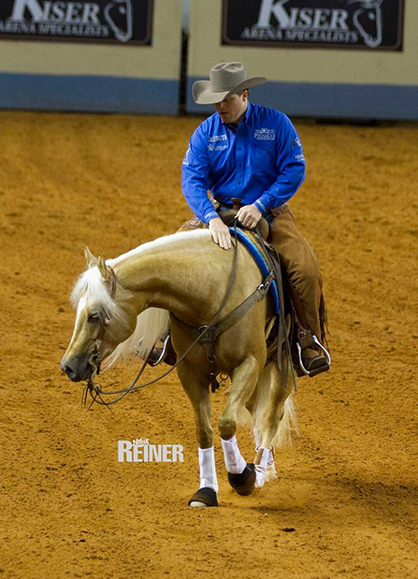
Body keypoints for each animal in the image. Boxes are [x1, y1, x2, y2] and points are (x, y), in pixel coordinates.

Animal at [59, 229, 298, 510]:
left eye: (94, 315)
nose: (68, 366)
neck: (212, 290)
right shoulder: (189, 371)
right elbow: (204, 431)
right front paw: (206, 491)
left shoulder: (249, 363)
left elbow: (226, 423)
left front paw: (243, 477)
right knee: (257, 411)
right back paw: (266, 467)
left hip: (281, 363)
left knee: (272, 413)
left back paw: (261, 471)